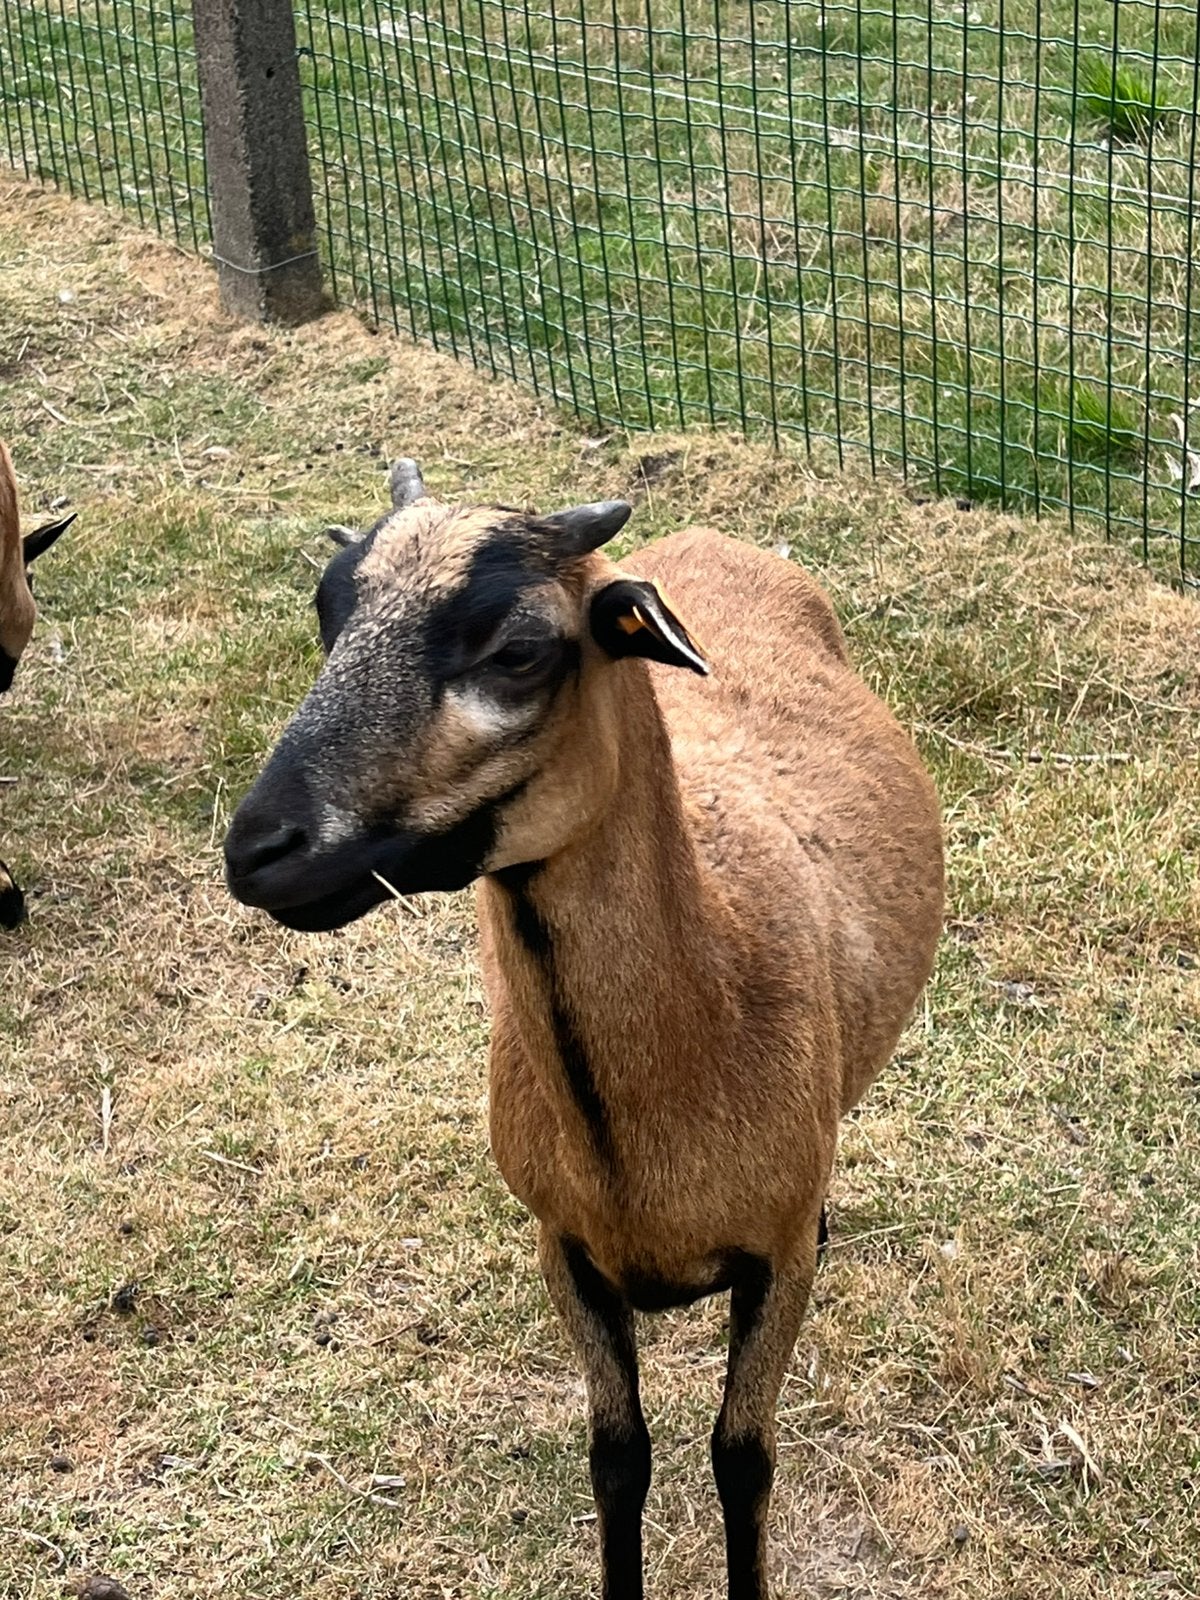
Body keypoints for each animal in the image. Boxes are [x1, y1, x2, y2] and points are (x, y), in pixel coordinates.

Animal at [224, 459, 944, 1599]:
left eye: (519, 650)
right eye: (328, 613)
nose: (258, 849)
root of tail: (711, 535)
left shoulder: (777, 1259)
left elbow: (743, 1458)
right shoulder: (562, 1247)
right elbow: (618, 1456)